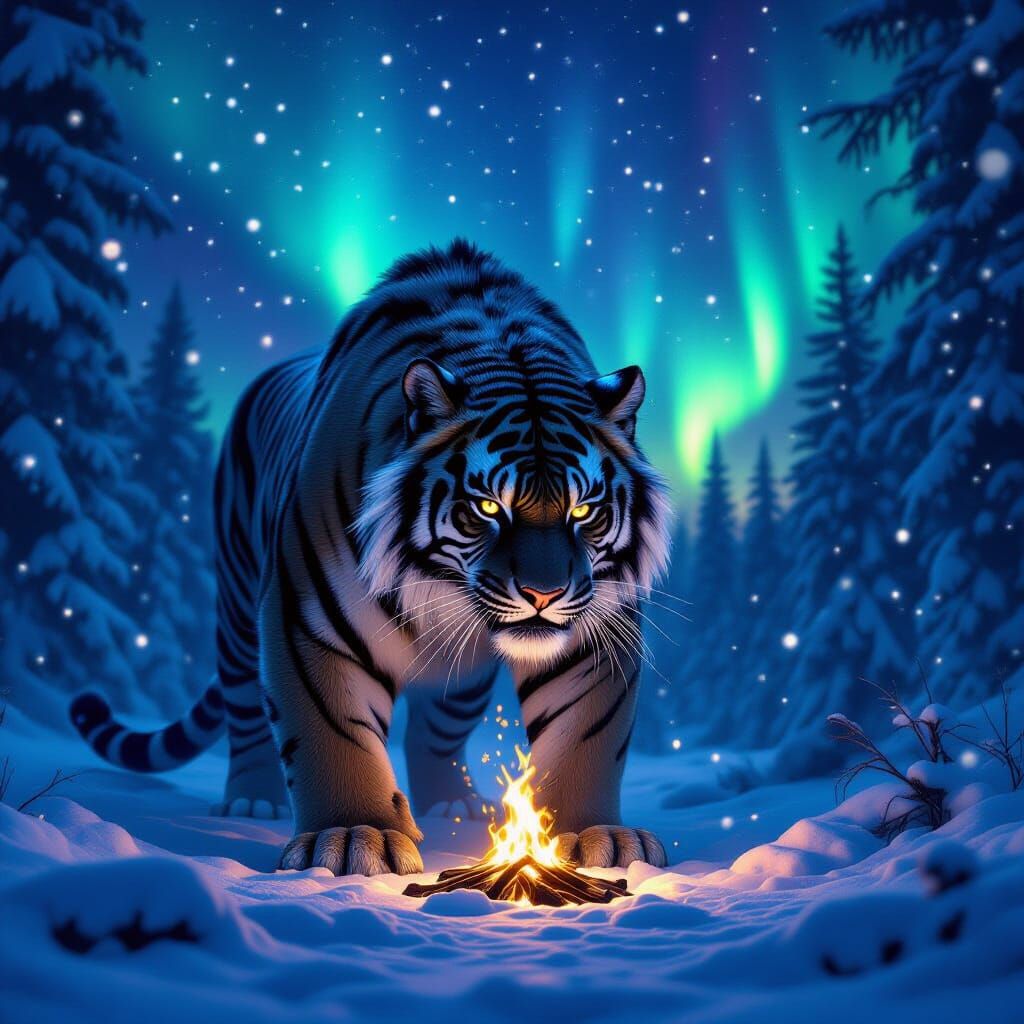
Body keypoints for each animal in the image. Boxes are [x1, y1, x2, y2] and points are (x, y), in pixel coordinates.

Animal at [71, 240, 672, 876]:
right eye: (488, 506)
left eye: (583, 510)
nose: (544, 594)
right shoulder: (308, 619)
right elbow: (332, 733)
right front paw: (352, 837)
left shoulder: (593, 633)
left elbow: (586, 736)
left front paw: (596, 836)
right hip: (235, 607)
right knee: (245, 709)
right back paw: (252, 800)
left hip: (462, 681)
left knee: (434, 734)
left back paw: (452, 805)